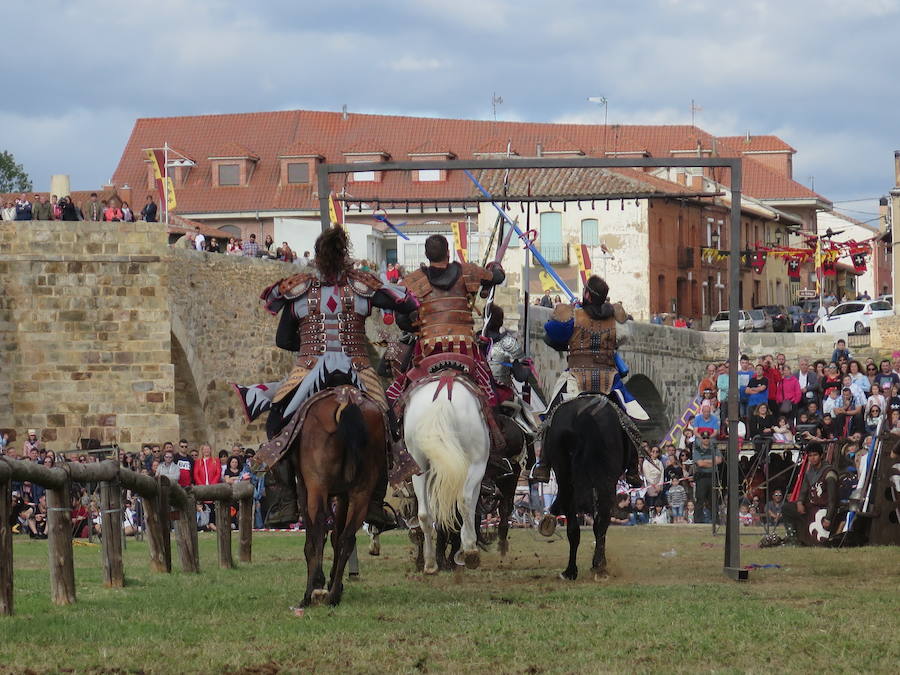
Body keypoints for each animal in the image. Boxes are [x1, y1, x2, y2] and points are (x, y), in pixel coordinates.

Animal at [290, 386, 384, 608]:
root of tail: (348, 400)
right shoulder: (343, 496)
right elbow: (336, 536)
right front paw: (335, 583)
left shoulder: (305, 488)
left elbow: (314, 539)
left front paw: (319, 584)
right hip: (361, 492)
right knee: (347, 538)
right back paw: (332, 595)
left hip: (316, 486)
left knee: (318, 532)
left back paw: (311, 591)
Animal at [404, 378, 488, 572]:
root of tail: (441, 400)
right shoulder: (478, 471)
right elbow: (470, 506)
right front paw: (469, 547)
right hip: (476, 463)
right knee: (464, 500)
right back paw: (470, 553)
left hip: (418, 467)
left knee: (424, 515)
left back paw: (430, 563)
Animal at [540, 398, 632, 584]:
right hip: (603, 483)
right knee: (600, 523)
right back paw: (599, 568)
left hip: (567, 479)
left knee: (575, 527)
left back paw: (571, 571)